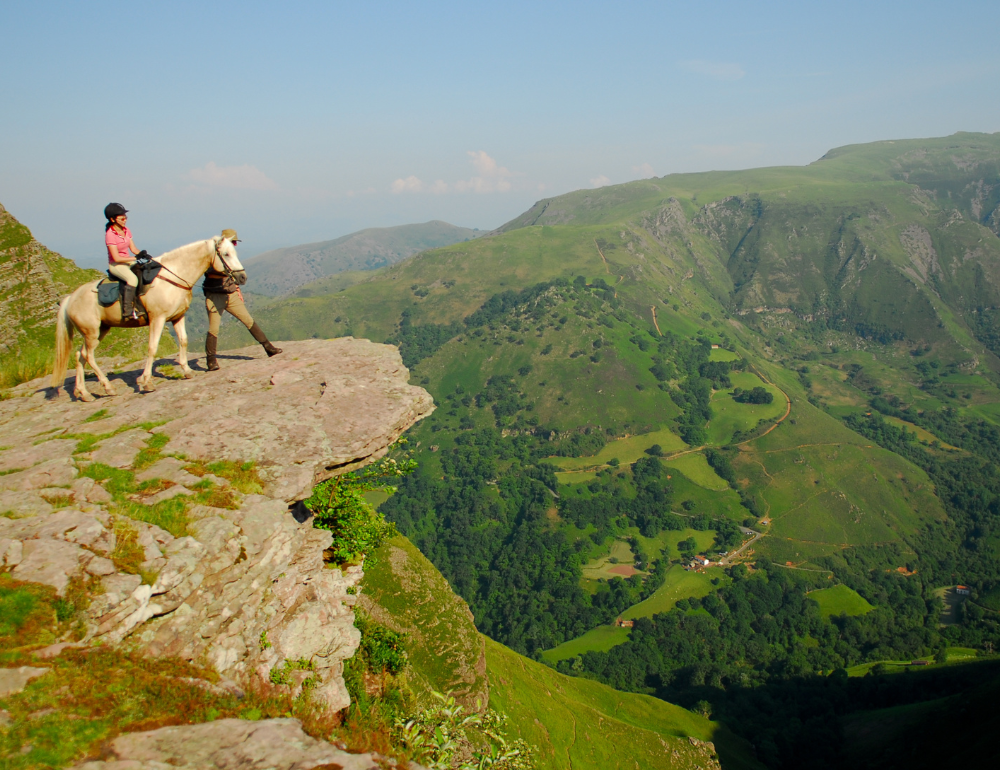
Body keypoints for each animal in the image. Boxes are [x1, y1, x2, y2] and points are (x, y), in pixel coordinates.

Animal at [51, 237, 247, 400]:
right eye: (226, 254)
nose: (243, 277)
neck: (172, 278)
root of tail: (70, 298)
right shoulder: (157, 319)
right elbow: (152, 348)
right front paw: (146, 382)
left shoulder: (178, 317)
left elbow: (183, 341)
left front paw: (187, 370)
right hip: (91, 331)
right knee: (88, 355)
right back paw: (108, 387)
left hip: (100, 330)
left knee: (80, 355)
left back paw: (83, 393)